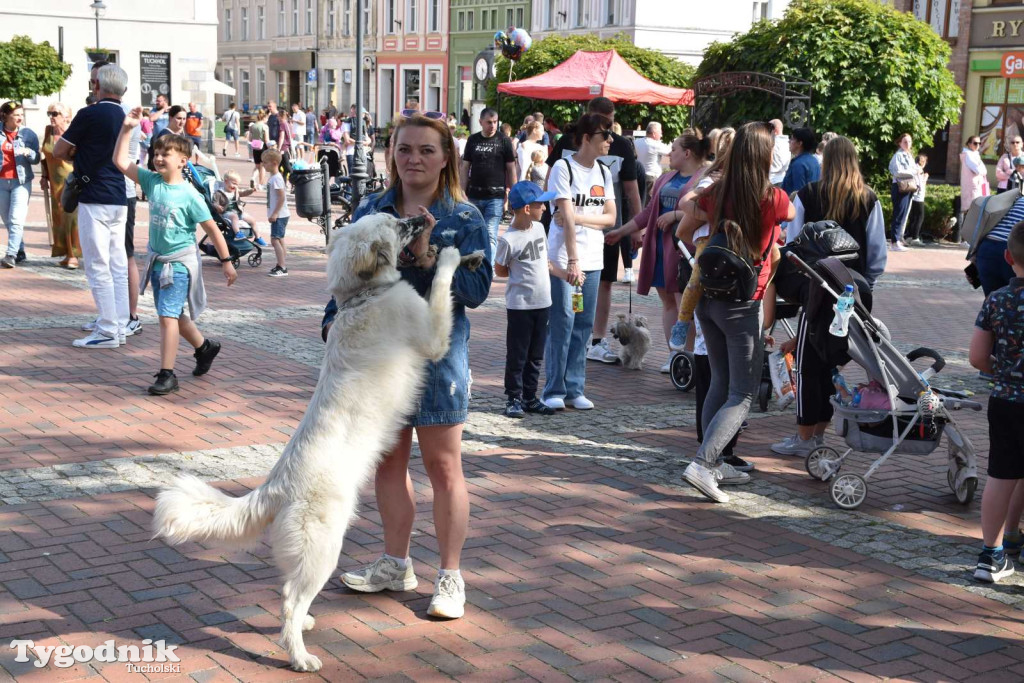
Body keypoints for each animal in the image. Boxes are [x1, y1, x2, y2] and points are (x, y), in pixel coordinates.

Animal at [150, 215, 464, 671]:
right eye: (395, 222)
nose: (423, 218)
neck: (362, 296)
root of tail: (276, 486)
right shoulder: (434, 336)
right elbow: (441, 286)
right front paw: (452, 257)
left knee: (288, 595)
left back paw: (305, 628)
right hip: (324, 548)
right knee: (289, 601)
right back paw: (300, 656)